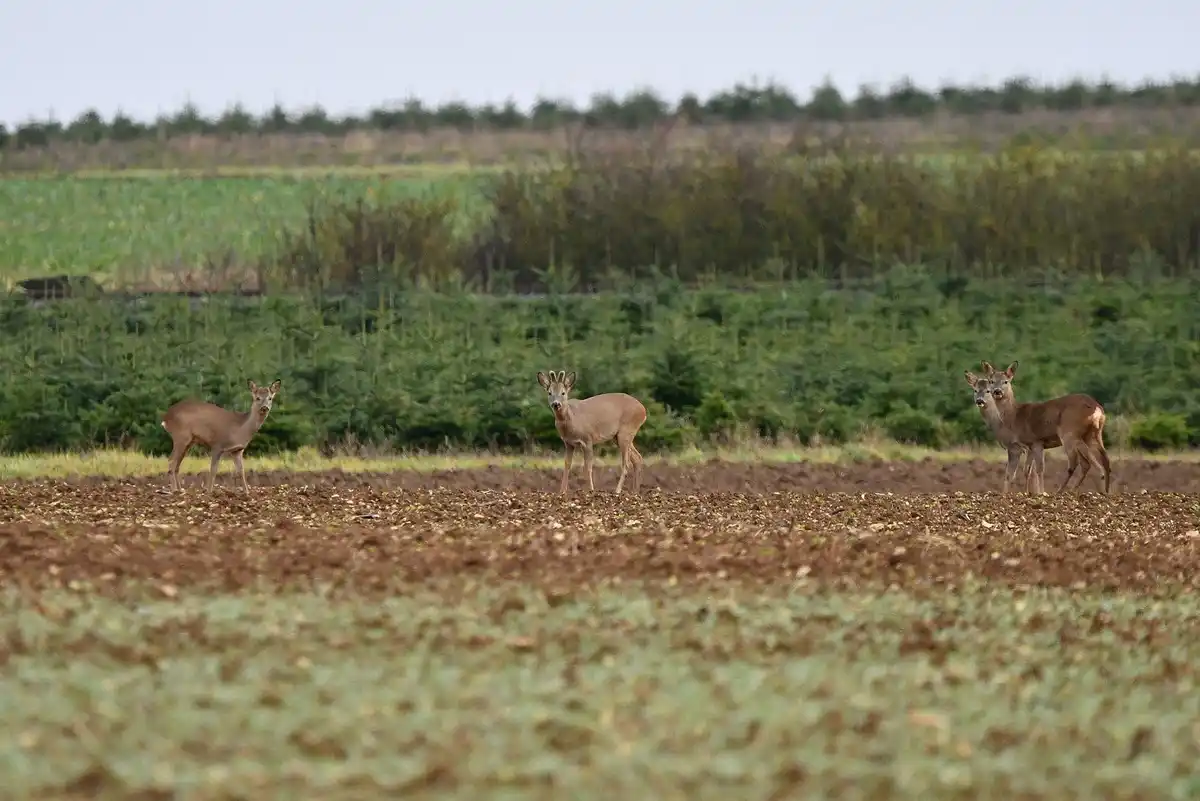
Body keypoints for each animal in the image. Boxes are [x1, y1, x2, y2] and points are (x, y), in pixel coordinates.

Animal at [971, 361, 1111, 494]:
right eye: (991, 381)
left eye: (1006, 381)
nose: (997, 391)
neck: (1015, 416)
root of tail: (1097, 408)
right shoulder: (1029, 446)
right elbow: (1028, 470)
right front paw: (1028, 493)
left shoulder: (1036, 441)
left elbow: (1039, 469)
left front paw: (1040, 493)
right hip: (1093, 433)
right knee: (1101, 459)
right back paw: (1099, 490)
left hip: (1070, 432)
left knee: (1078, 463)